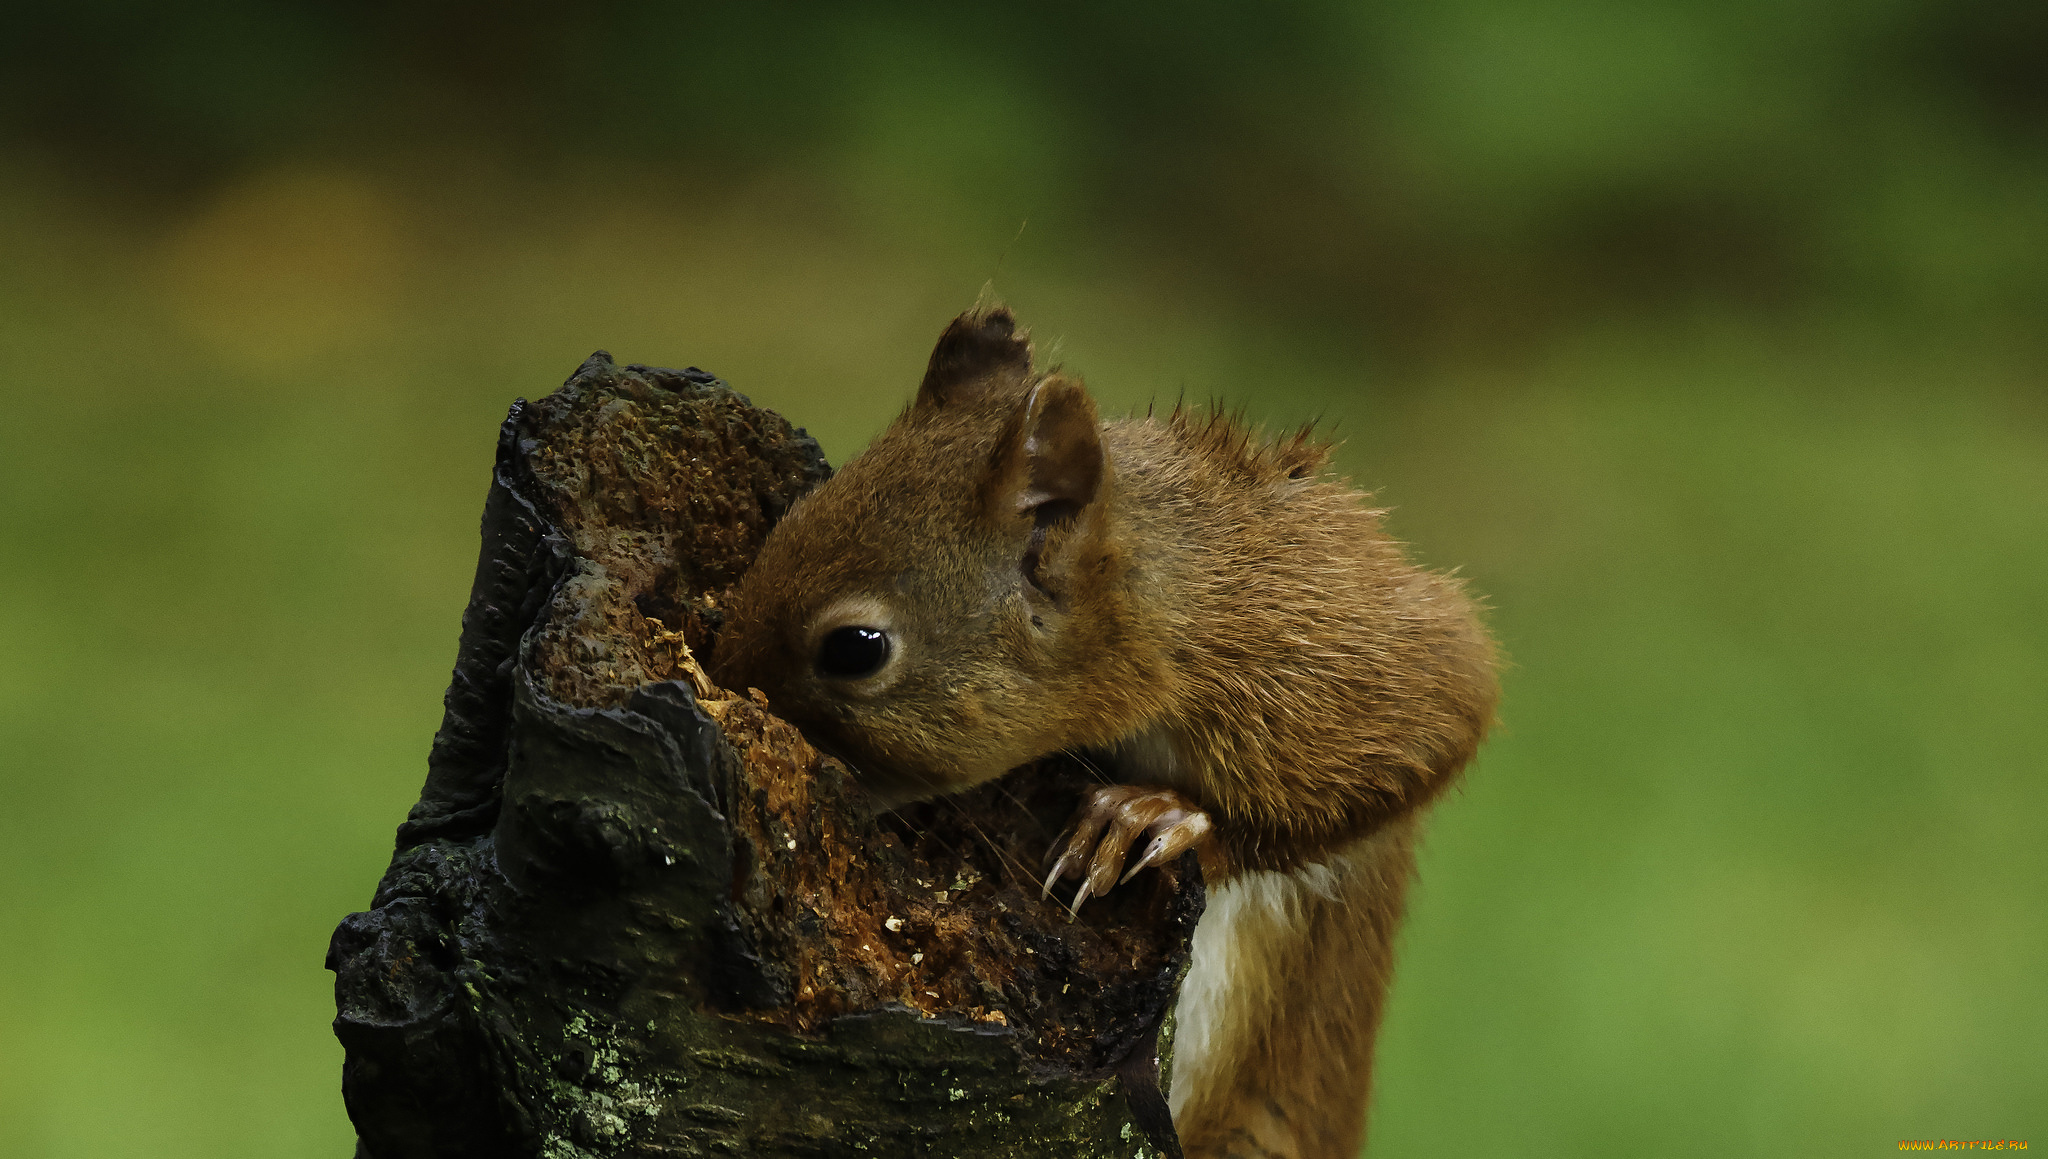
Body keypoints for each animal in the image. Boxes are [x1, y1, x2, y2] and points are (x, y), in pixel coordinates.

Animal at [712, 309, 1499, 1159]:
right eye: (787, 523)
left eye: (855, 648)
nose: (718, 676)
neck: (1173, 589)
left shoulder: (1322, 656)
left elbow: (1439, 720)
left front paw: (1153, 820)